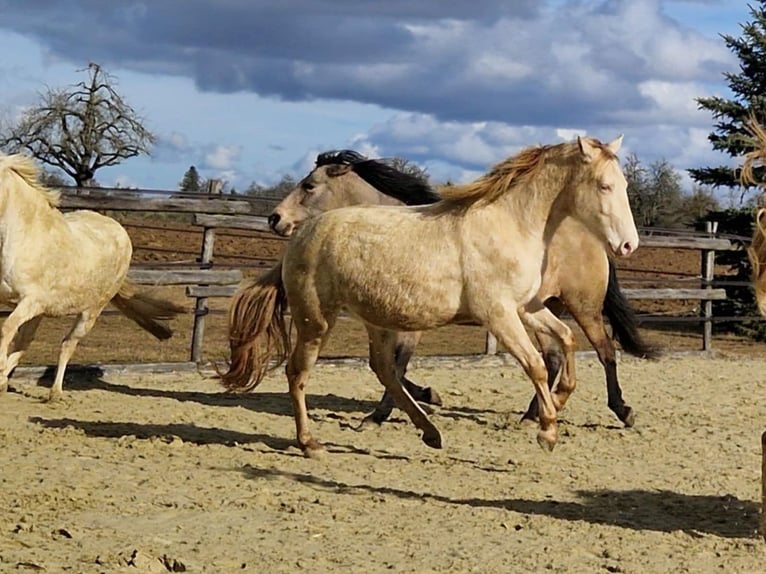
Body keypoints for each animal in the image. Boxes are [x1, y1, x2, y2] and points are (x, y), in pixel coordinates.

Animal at [0, 153, 186, 401]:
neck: (24, 240)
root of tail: (118, 229)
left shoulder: (31, 301)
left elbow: (6, 328)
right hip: (42, 313)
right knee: (25, 342)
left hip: (89, 312)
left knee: (67, 344)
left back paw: (54, 393)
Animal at [221, 136, 639, 457]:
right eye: (604, 186)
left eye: (623, 186)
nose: (628, 244)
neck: (509, 225)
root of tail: (302, 236)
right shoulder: (499, 314)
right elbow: (535, 364)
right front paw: (548, 431)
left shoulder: (526, 307)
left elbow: (565, 342)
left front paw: (558, 402)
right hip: (316, 320)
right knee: (299, 373)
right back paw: (311, 443)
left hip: (374, 319)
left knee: (384, 370)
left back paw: (430, 432)